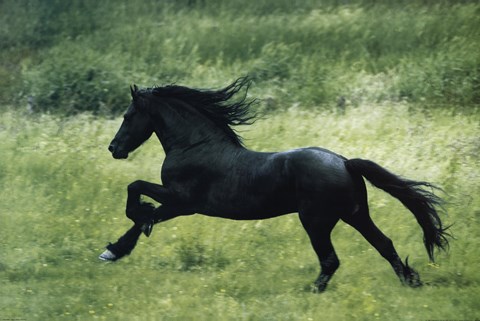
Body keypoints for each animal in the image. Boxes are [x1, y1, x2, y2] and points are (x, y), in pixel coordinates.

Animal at [101, 77, 450, 290]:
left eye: (128, 115)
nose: (113, 148)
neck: (194, 146)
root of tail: (344, 162)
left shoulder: (182, 200)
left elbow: (136, 191)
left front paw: (130, 224)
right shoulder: (180, 206)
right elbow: (146, 217)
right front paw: (115, 250)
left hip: (316, 221)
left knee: (331, 260)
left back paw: (311, 292)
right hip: (355, 215)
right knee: (384, 245)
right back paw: (411, 282)